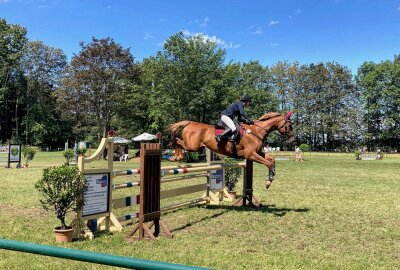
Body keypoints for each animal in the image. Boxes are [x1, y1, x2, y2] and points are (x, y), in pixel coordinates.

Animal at [166, 111, 294, 188]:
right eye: (290, 125)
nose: (292, 139)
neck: (256, 131)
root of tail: (190, 123)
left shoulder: (257, 152)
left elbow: (271, 159)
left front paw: (271, 176)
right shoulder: (250, 155)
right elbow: (268, 163)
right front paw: (269, 180)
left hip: (193, 146)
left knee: (177, 140)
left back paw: (176, 157)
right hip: (192, 146)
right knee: (177, 140)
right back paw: (176, 157)